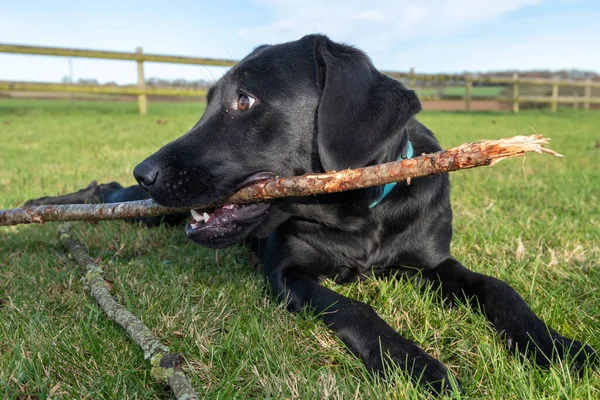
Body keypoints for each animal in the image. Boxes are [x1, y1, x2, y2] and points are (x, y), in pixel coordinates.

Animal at [28, 33, 596, 390]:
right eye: (209, 100)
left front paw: (562, 350)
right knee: (108, 192)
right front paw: (417, 364)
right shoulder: (288, 273)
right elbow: (356, 309)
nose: (145, 170)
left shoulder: (434, 263)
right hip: (147, 210)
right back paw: (42, 205)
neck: (360, 217)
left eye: (244, 101)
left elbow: (500, 289)